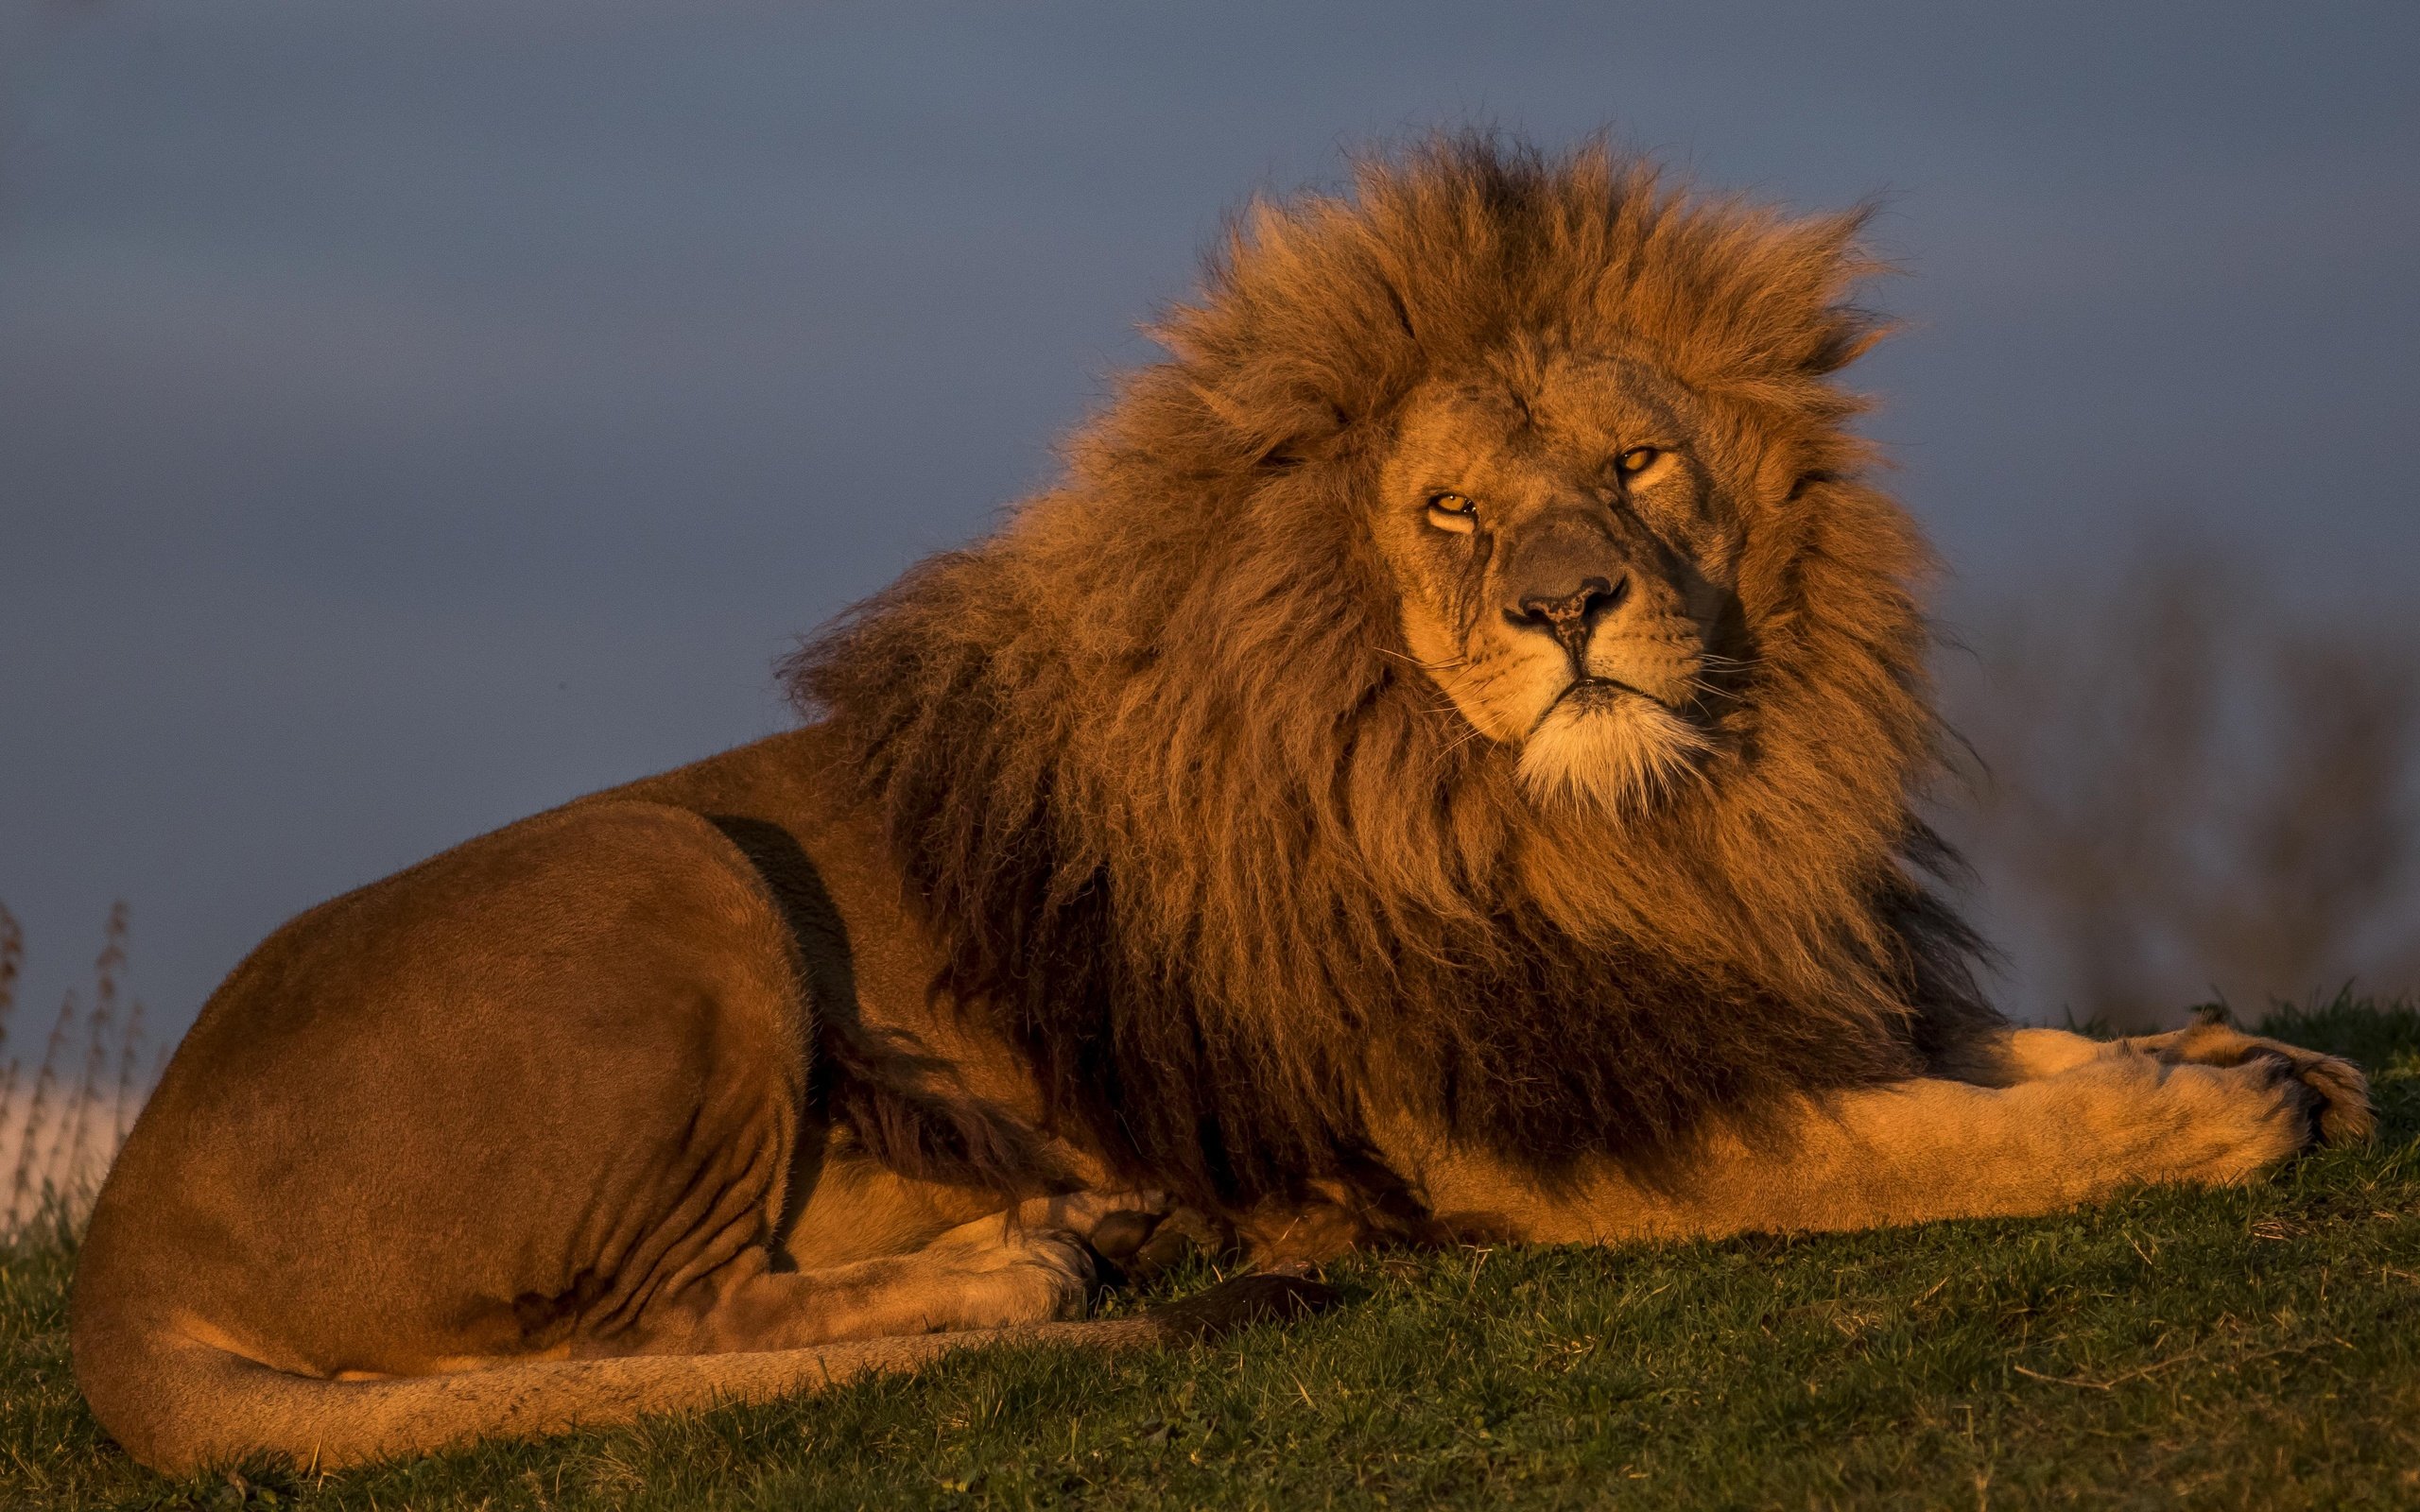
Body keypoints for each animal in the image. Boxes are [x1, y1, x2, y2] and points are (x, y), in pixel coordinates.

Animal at [66, 132, 2371, 1470]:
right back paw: (1024, 1271)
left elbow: (1979, 1050)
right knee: (678, 1314)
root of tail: (117, 1239)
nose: (1569, 605)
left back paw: (1098, 1228)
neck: (1616, 831)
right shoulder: (1534, 1135)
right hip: (671, 870)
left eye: (1635, 464)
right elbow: (1920, 1145)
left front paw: (2231, 1049)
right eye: (1451, 511)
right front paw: (2200, 1113)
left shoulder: (1712, 997)